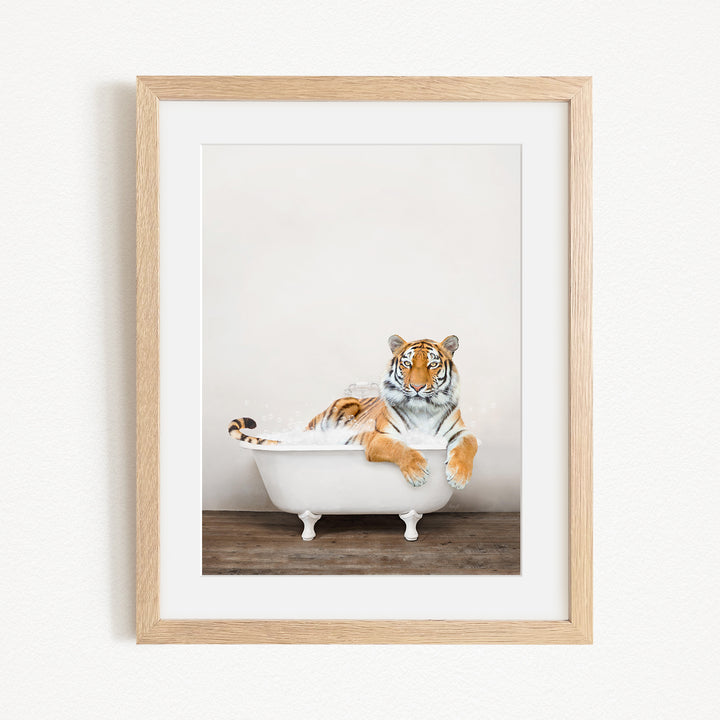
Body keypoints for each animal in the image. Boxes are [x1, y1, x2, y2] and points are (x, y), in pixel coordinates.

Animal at [228, 334, 478, 489]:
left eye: (432, 364)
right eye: (407, 364)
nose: (417, 387)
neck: (422, 410)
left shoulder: (461, 432)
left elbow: (469, 444)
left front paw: (458, 476)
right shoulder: (379, 438)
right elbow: (399, 448)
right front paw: (417, 472)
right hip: (345, 404)